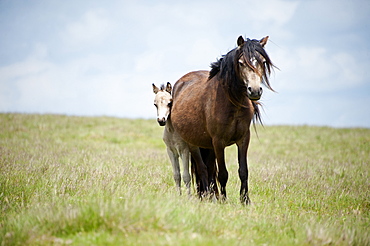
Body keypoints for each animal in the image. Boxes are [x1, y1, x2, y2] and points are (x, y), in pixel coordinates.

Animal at [171, 36, 274, 204]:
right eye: (241, 63)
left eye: (263, 62)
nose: (254, 91)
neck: (233, 103)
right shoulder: (219, 142)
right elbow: (223, 173)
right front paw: (224, 201)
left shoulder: (243, 139)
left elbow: (243, 171)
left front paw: (245, 200)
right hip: (194, 144)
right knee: (203, 168)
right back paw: (207, 195)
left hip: (208, 146)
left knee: (210, 168)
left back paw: (212, 195)